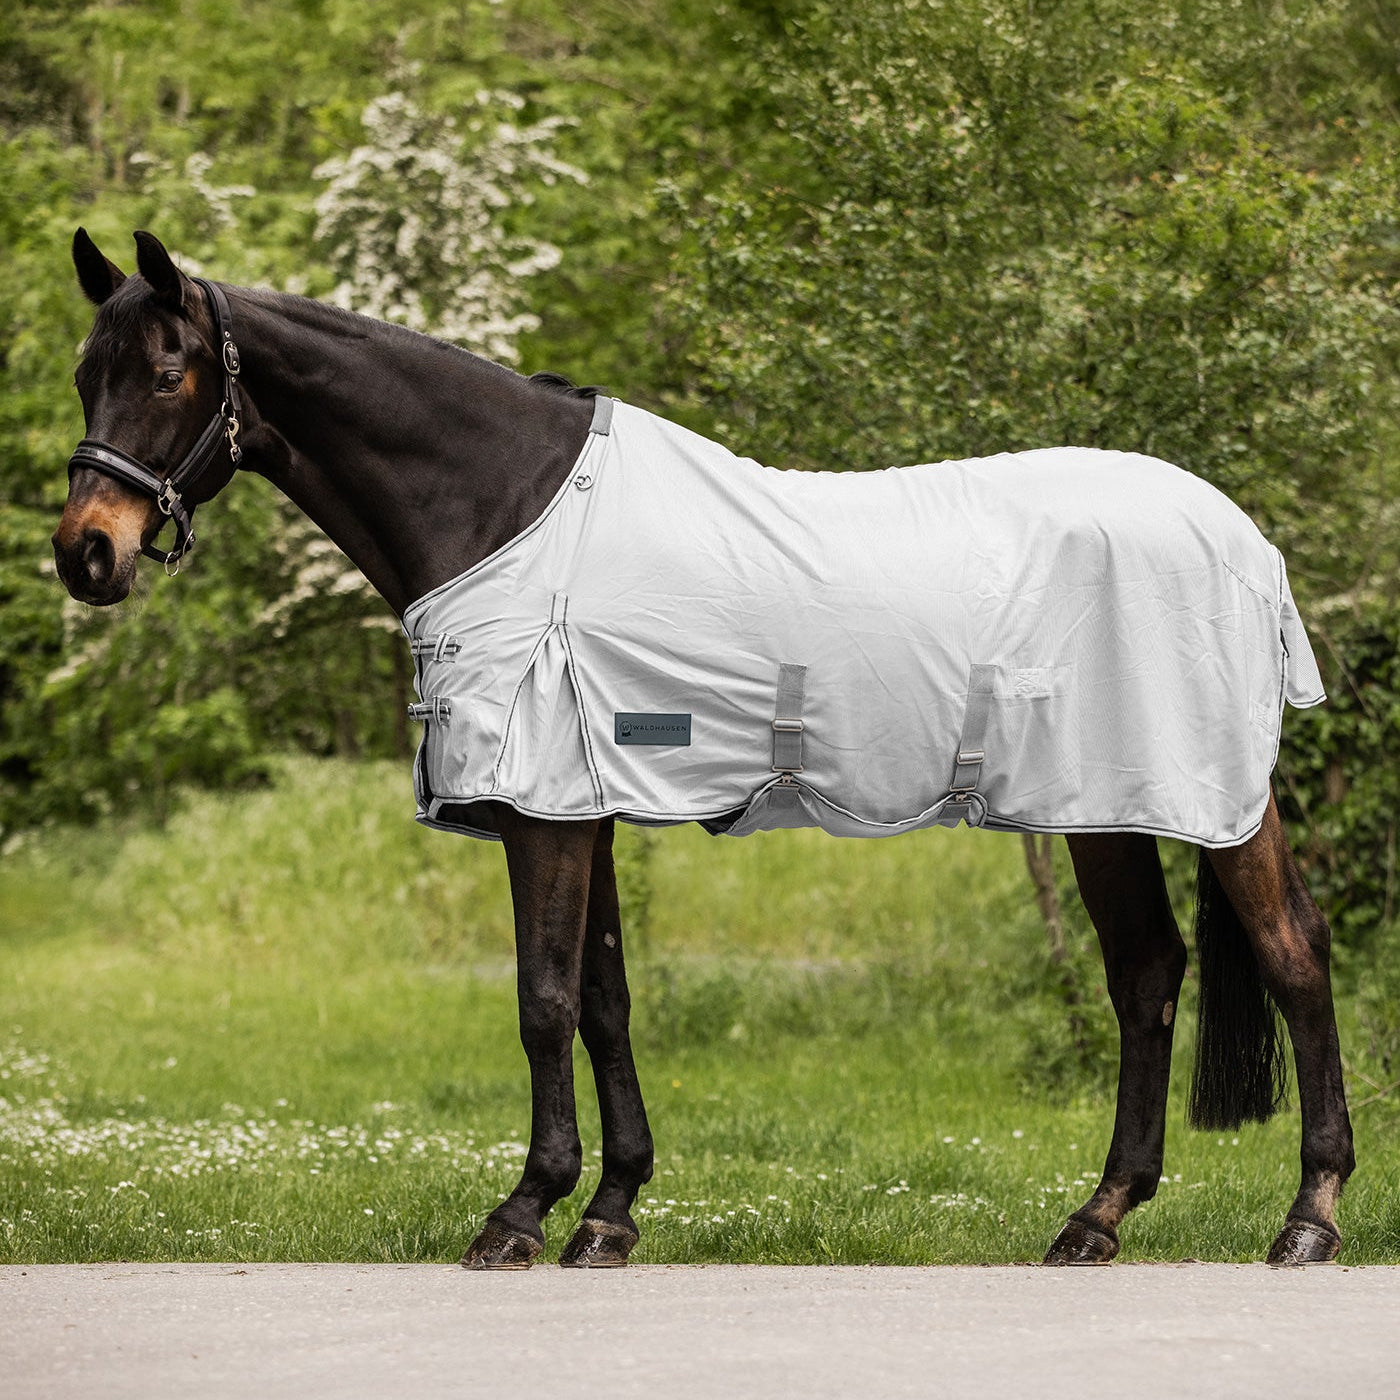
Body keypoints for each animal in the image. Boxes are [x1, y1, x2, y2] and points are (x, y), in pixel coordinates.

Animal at [52, 229, 1355, 1269]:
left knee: (1289, 951)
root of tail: (1241, 537)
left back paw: (1307, 1215)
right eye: (82, 373)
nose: (85, 552)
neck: (507, 507)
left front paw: (520, 1213)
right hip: (1101, 804)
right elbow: (603, 1000)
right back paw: (1096, 1217)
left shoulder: (543, 809)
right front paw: (608, 1211)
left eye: (167, 372)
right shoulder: (579, 802)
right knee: (1145, 974)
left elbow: (540, 1000)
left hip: (1207, 795)